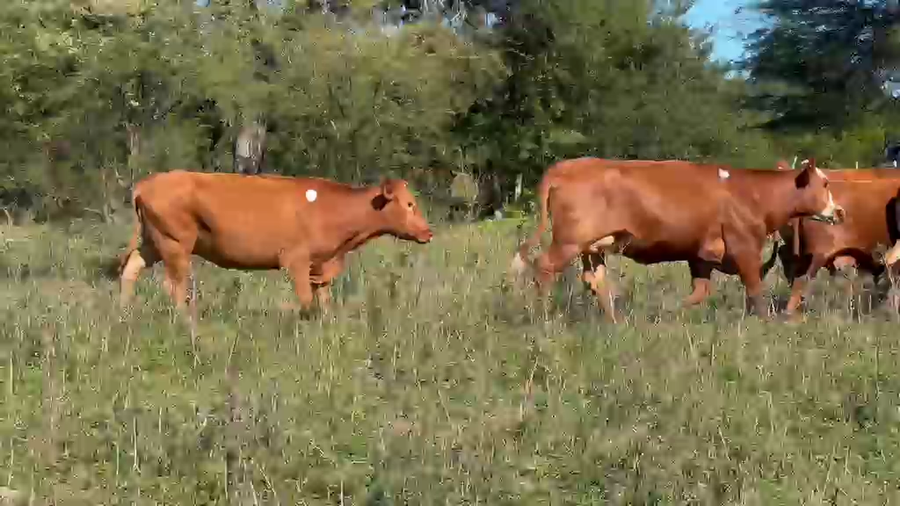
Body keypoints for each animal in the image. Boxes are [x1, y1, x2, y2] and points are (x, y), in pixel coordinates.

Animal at [115, 170, 433, 317]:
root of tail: (146, 183)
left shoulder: (323, 262)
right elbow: (306, 300)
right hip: (176, 244)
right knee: (174, 285)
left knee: (132, 267)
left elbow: (324, 299)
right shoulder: (297, 260)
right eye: (409, 204)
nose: (428, 233)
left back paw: (125, 311)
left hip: (154, 241)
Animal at [510, 157, 843, 322]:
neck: (753, 193)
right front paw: (765, 322)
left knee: (595, 280)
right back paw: (543, 317)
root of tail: (566, 165)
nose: (839, 211)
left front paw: (669, 312)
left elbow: (700, 292)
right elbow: (755, 289)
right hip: (568, 241)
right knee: (543, 267)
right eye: (825, 183)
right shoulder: (745, 247)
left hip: (593, 248)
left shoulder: (701, 256)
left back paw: (615, 322)